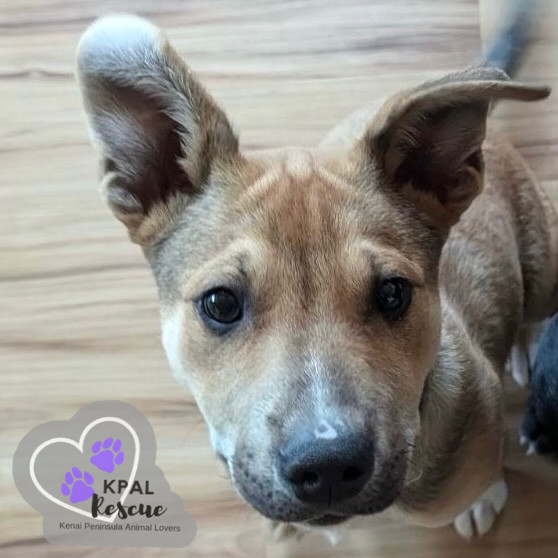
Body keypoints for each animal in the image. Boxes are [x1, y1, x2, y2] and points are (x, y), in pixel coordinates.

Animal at [76, 6, 558, 544]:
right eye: (220, 303)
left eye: (393, 293)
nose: (327, 467)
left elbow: (485, 476)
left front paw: (483, 498)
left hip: (544, 262)